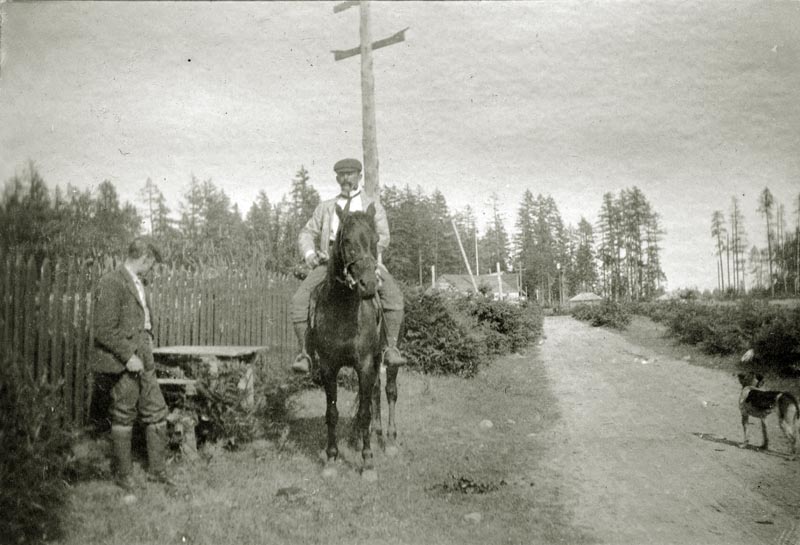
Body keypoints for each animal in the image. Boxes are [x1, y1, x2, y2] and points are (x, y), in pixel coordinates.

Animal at [306, 202, 399, 480]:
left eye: (376, 240)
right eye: (346, 240)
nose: (368, 285)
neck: (343, 309)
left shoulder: (365, 365)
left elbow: (364, 412)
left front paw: (367, 462)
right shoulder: (328, 367)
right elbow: (332, 412)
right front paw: (331, 458)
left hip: (387, 360)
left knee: (390, 392)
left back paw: (389, 440)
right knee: (376, 394)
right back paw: (373, 435)